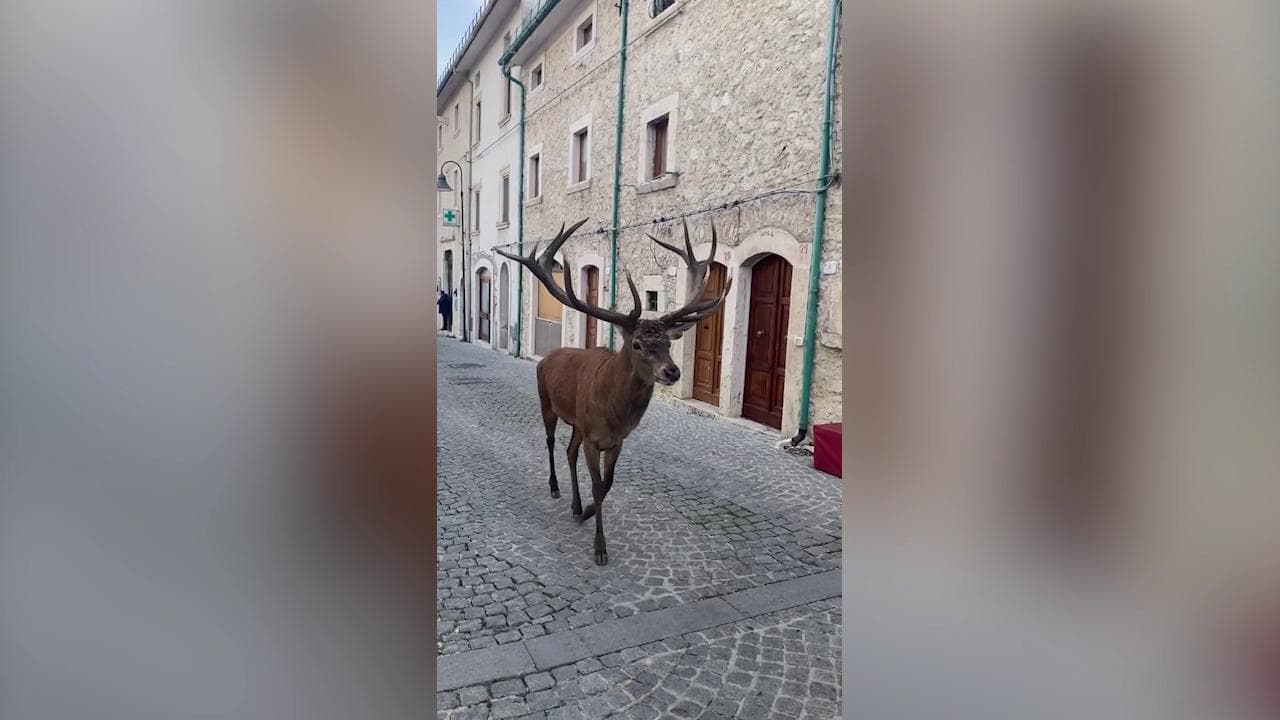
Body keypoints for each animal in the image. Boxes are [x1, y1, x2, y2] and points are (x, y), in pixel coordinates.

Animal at [497, 218, 731, 565]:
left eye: (668, 342)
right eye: (637, 344)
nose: (672, 371)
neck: (614, 412)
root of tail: (550, 355)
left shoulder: (616, 440)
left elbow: (607, 485)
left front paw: (587, 511)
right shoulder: (594, 438)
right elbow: (597, 485)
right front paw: (600, 548)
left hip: (577, 423)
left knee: (569, 451)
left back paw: (575, 505)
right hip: (546, 403)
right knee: (551, 442)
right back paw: (554, 487)